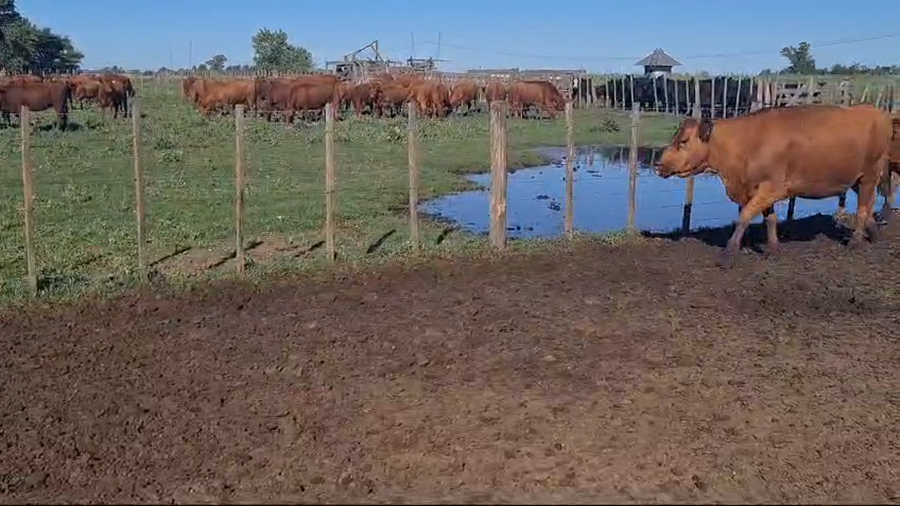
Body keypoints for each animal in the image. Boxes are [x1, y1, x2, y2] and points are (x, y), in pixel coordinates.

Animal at [654, 104, 894, 269]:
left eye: (683, 141)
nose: (657, 164)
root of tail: (878, 111)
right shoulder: (759, 190)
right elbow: (770, 219)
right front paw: (773, 249)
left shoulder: (772, 188)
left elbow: (744, 217)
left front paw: (728, 254)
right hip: (856, 179)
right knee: (869, 206)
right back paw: (874, 234)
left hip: (869, 176)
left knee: (862, 209)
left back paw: (855, 242)